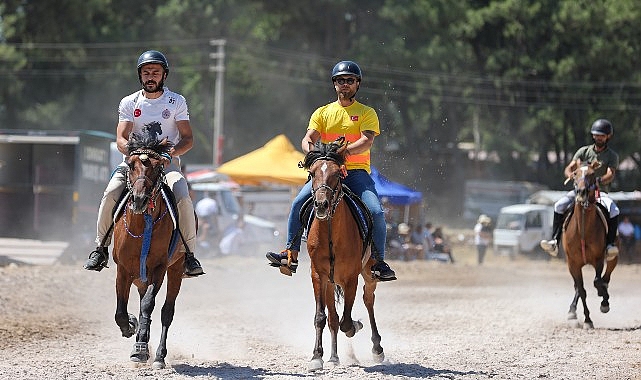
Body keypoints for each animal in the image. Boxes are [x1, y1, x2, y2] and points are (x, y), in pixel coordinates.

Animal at [110, 131, 182, 368]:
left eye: (158, 167)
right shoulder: (123, 269)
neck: (143, 224)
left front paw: (141, 347)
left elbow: (149, 305)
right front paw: (130, 326)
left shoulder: (159, 268)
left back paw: (159, 355)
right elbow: (121, 311)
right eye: (131, 165)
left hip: (176, 269)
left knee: (166, 311)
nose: (140, 199)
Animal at [302, 137, 384, 372]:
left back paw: (377, 348)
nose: (321, 204)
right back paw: (334, 356)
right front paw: (316, 357)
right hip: (330, 283)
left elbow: (347, 321)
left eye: (337, 173)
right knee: (332, 317)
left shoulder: (351, 278)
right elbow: (322, 317)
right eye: (312, 173)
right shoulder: (318, 276)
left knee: (368, 300)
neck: (330, 232)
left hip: (368, 273)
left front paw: (356, 325)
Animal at [564, 160, 616, 326]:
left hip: (613, 257)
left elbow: (597, 281)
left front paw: (604, 301)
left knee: (606, 277)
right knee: (578, 287)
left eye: (592, 174)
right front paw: (587, 319)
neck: (583, 230)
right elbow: (581, 290)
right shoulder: (572, 263)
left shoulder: (598, 259)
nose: (581, 192)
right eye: (575, 173)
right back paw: (572, 311)